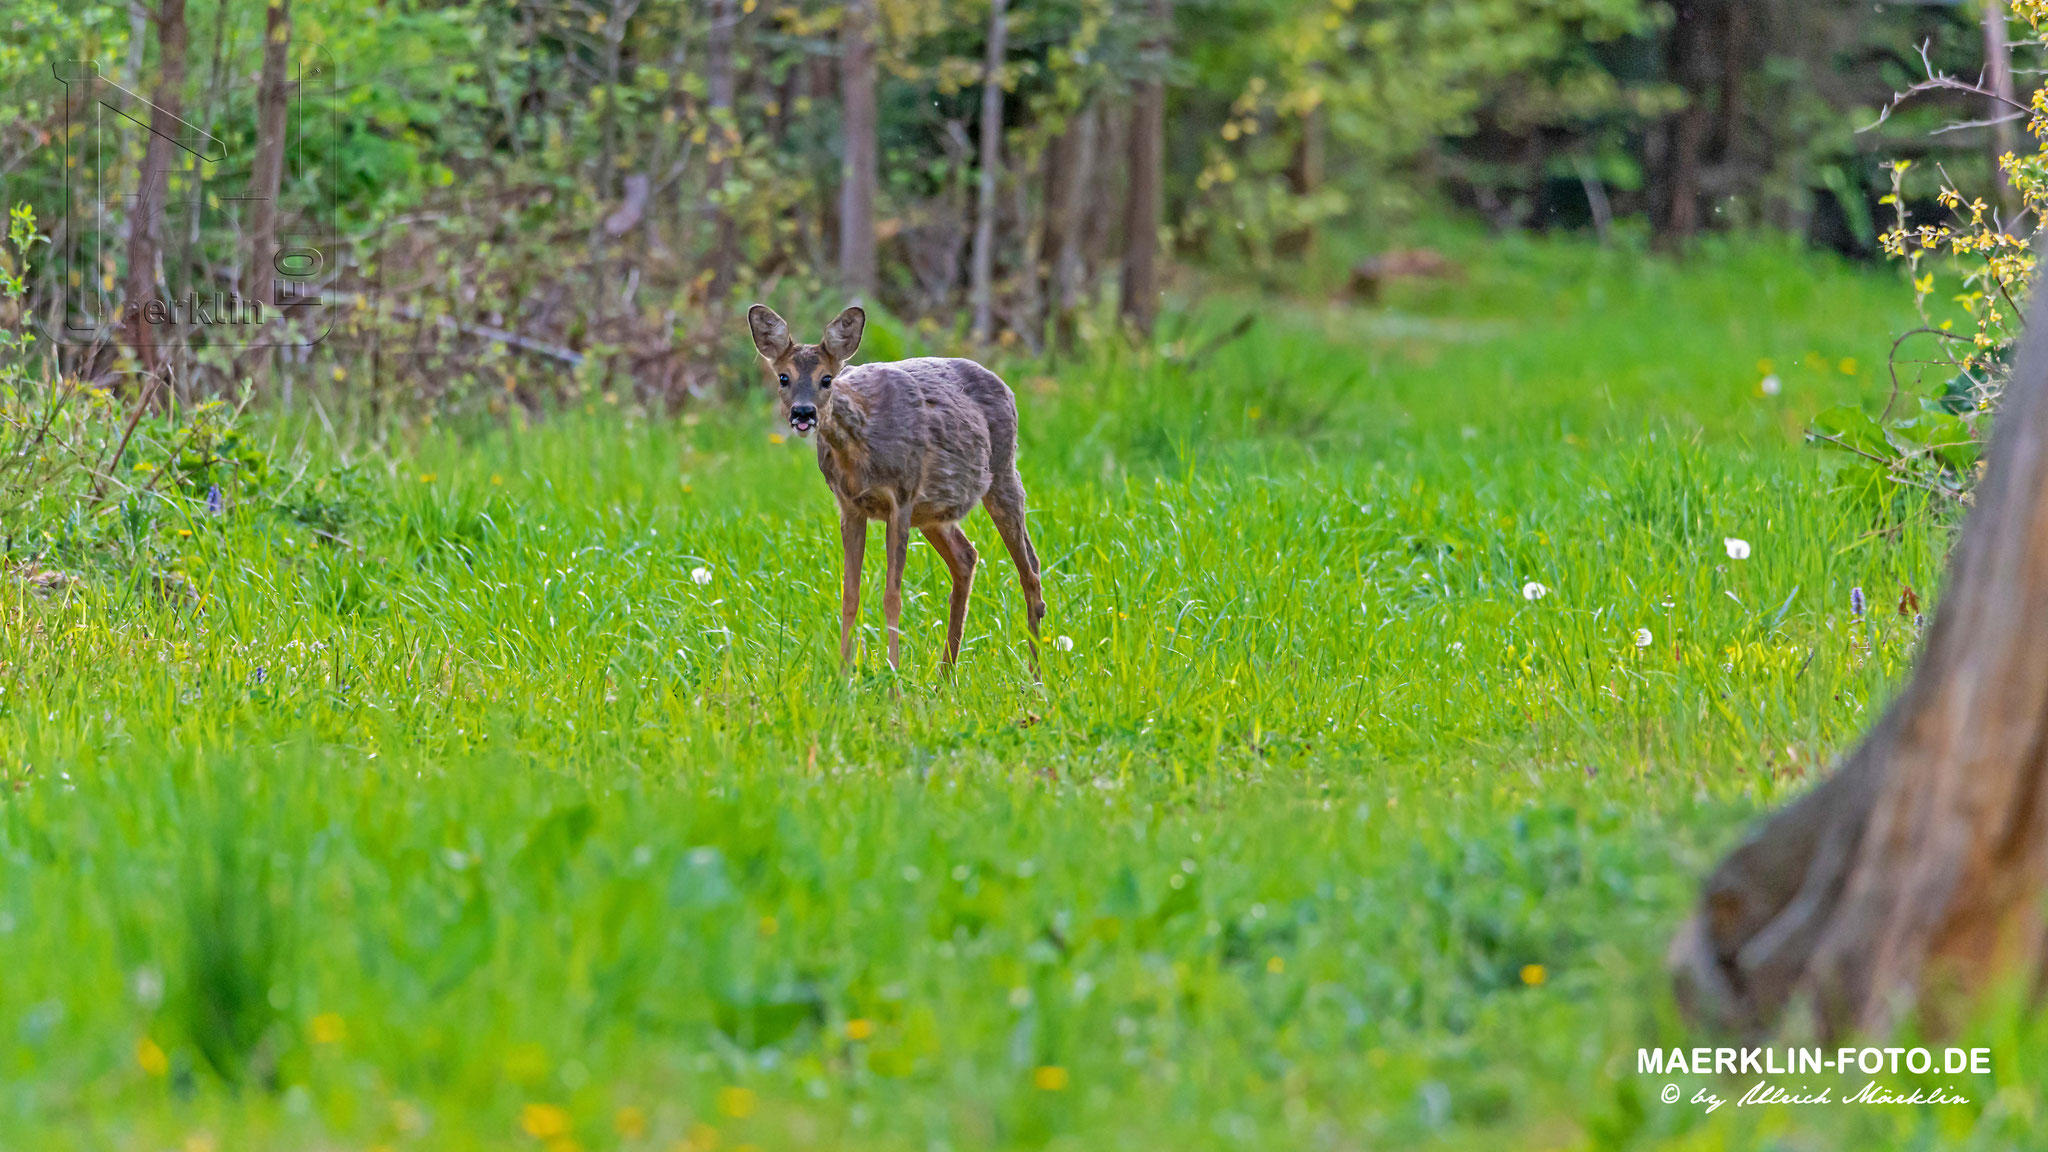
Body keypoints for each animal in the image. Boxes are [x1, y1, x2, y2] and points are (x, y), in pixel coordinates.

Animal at [745, 301, 1048, 668]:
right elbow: (850, 593)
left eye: (826, 379)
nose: (803, 413)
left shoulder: (901, 498)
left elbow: (893, 595)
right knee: (967, 557)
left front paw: (894, 674)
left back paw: (1034, 674)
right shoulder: (850, 506)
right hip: (933, 512)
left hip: (1003, 472)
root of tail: (1007, 388)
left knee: (1030, 569)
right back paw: (945, 675)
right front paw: (845, 672)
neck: (862, 448)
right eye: (784, 377)